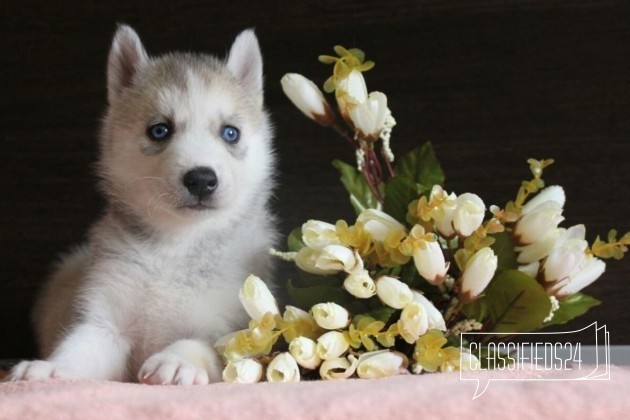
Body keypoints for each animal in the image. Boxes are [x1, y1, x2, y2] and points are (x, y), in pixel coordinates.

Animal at [9, 25, 276, 384]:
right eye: (159, 130)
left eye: (230, 133)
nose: (201, 179)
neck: (178, 245)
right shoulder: (107, 322)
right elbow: (79, 348)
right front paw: (52, 368)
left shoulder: (231, 331)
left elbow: (199, 344)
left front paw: (177, 360)